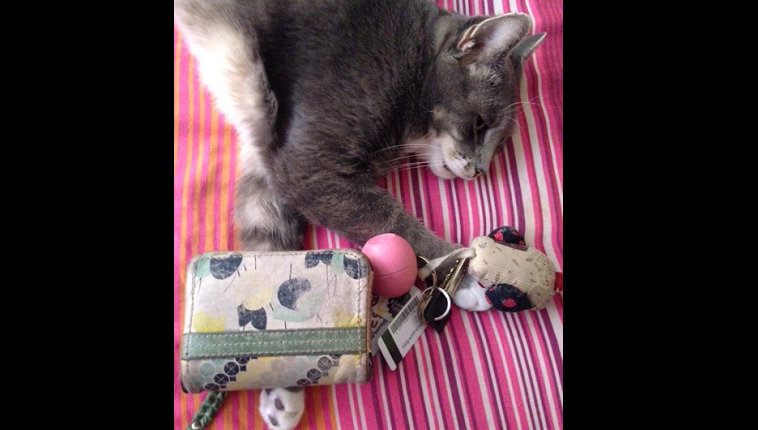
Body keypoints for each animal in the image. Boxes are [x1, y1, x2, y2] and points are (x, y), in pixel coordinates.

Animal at [175, 0, 548, 428]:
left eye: (500, 144)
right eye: (479, 123)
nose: (481, 171)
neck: (415, 60)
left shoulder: (266, 166)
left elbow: (267, 253)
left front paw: (280, 384)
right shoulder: (309, 169)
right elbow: (396, 224)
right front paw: (463, 274)